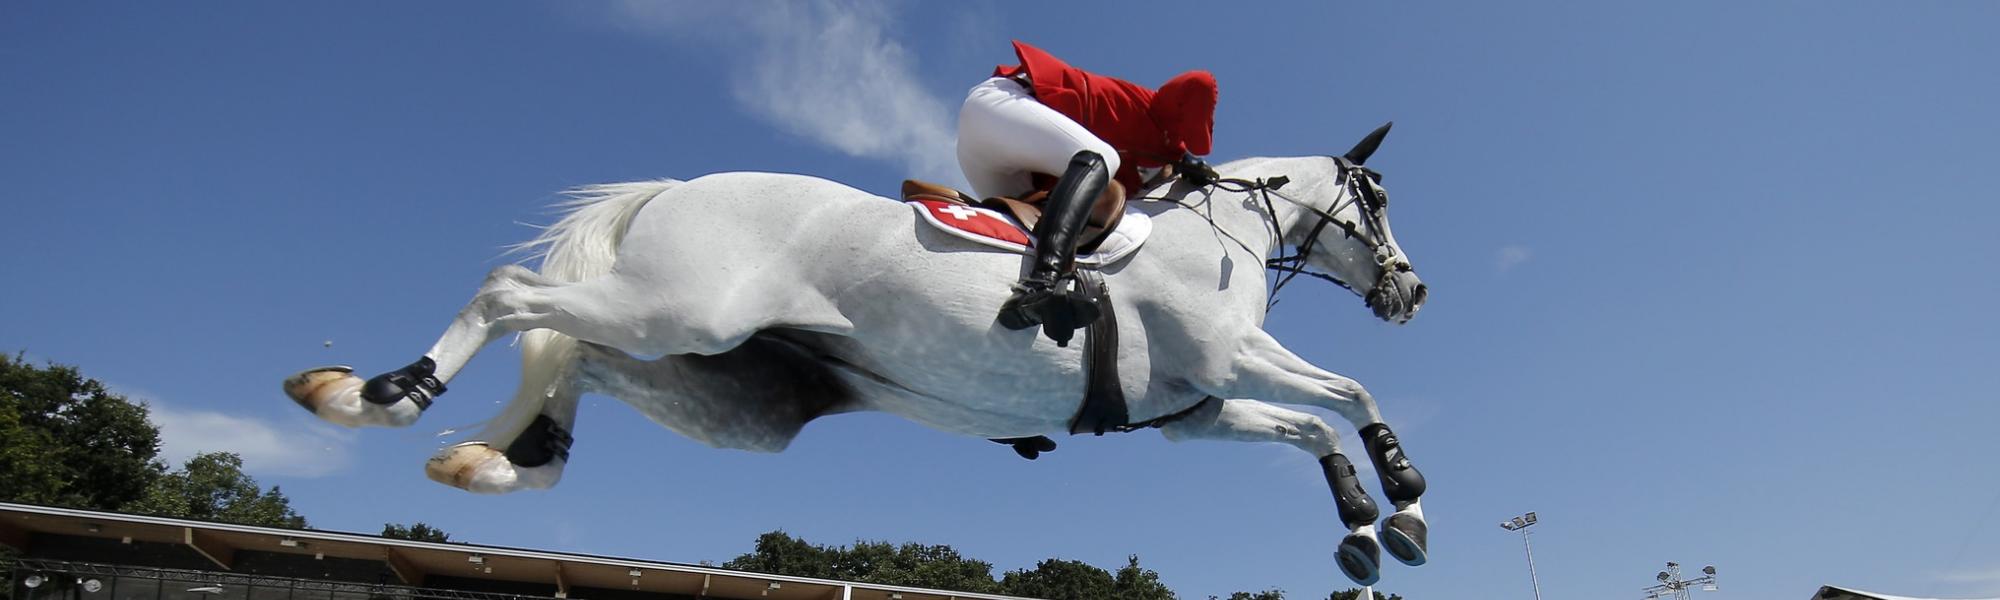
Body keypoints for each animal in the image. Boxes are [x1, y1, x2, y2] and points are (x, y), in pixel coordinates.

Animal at [290, 123, 1432, 584]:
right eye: (1376, 198)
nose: (1411, 291)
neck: (1219, 232)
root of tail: (676, 187)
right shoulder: (1232, 362)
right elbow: (1349, 390)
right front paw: (1405, 501)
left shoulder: (1197, 411)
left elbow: (1310, 425)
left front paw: (1362, 529)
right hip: (676, 307)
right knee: (513, 296)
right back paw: (376, 397)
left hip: (722, 384)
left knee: (577, 354)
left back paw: (496, 459)